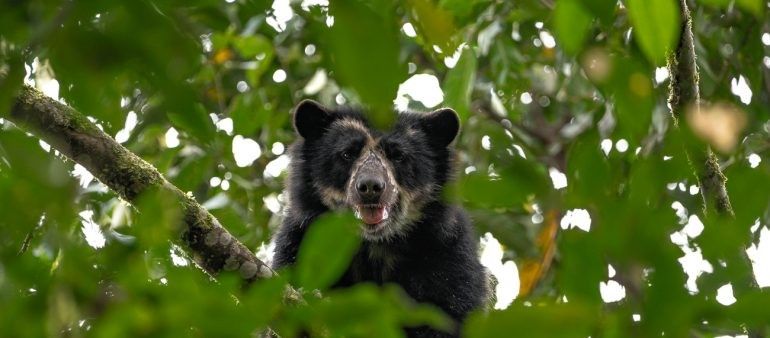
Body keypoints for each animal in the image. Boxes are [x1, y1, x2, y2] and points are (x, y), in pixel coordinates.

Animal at [270, 99, 486, 336]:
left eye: (398, 156)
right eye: (347, 154)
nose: (370, 187)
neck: (374, 245)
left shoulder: (447, 256)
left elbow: (448, 313)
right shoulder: (299, 244)